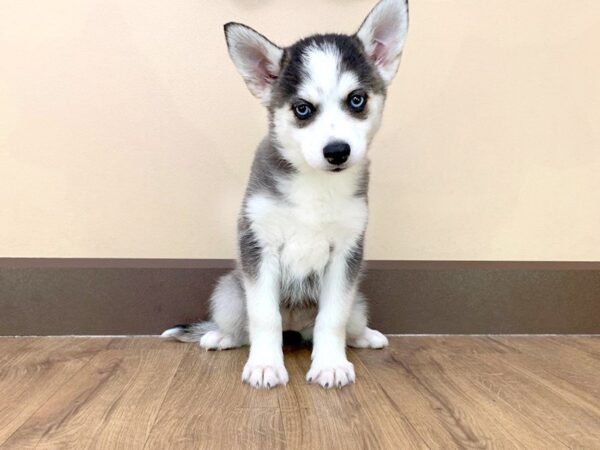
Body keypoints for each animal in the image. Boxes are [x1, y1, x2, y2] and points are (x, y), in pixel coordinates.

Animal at [162, 0, 410, 390]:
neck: (316, 186)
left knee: (349, 323)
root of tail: (295, 328)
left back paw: (366, 337)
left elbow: (332, 319)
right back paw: (220, 336)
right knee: (241, 326)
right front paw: (265, 365)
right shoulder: (259, 246)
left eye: (357, 100)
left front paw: (330, 365)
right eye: (302, 109)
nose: (337, 151)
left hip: (358, 301)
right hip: (230, 293)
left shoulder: (345, 255)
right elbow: (264, 317)